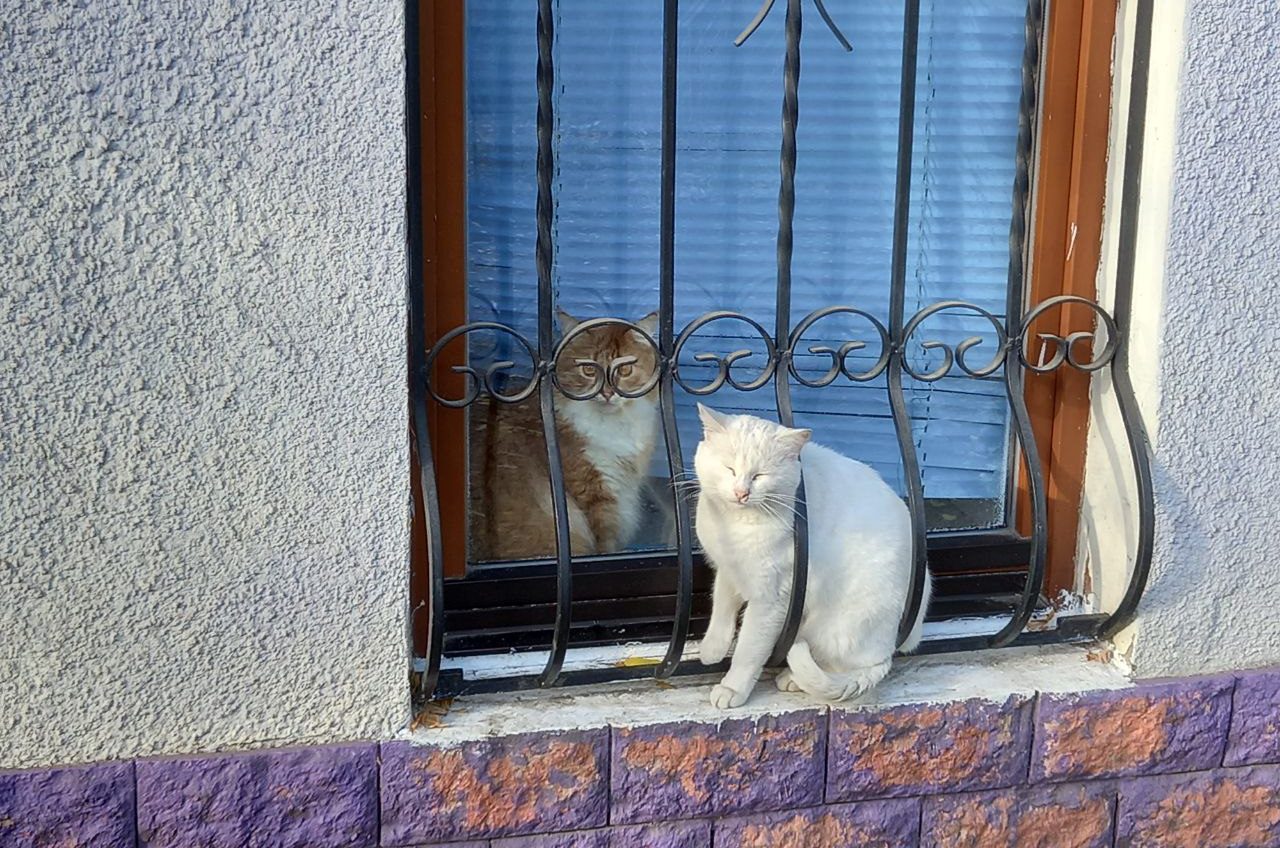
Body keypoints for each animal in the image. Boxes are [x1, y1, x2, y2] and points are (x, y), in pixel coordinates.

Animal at [696, 404, 936, 712]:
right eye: (729, 468)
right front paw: (712, 648)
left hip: (831, 627)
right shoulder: (729, 569)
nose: (741, 493)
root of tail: (888, 650)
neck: (734, 523)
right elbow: (721, 608)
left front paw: (732, 687)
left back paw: (793, 678)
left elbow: (748, 649)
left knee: (842, 666)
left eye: (760, 476)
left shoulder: (771, 600)